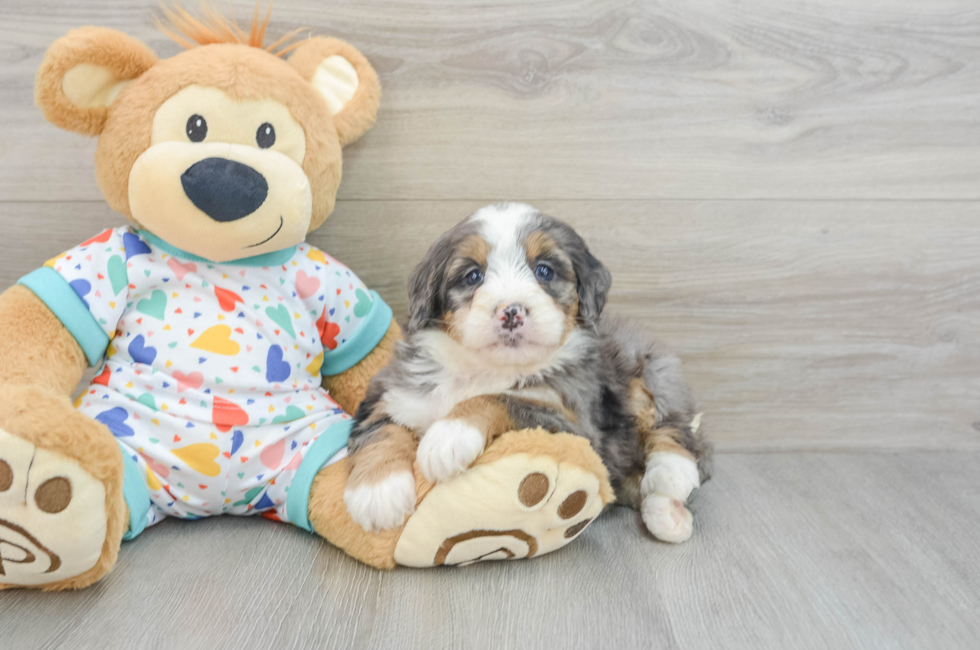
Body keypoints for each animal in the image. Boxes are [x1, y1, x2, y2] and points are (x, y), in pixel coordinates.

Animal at [344, 200, 712, 540]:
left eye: (544, 271)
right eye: (473, 275)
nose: (512, 312)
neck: (485, 369)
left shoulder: (575, 426)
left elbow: (502, 398)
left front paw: (448, 436)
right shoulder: (395, 389)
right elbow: (380, 427)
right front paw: (377, 493)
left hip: (650, 370)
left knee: (674, 426)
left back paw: (672, 475)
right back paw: (667, 512)